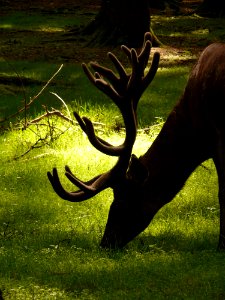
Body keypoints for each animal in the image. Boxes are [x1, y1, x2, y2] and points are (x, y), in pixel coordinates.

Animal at [47, 32, 225, 248]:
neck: (197, 135)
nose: (106, 241)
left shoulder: (219, 136)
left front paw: (221, 244)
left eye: (122, 200)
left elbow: (223, 192)